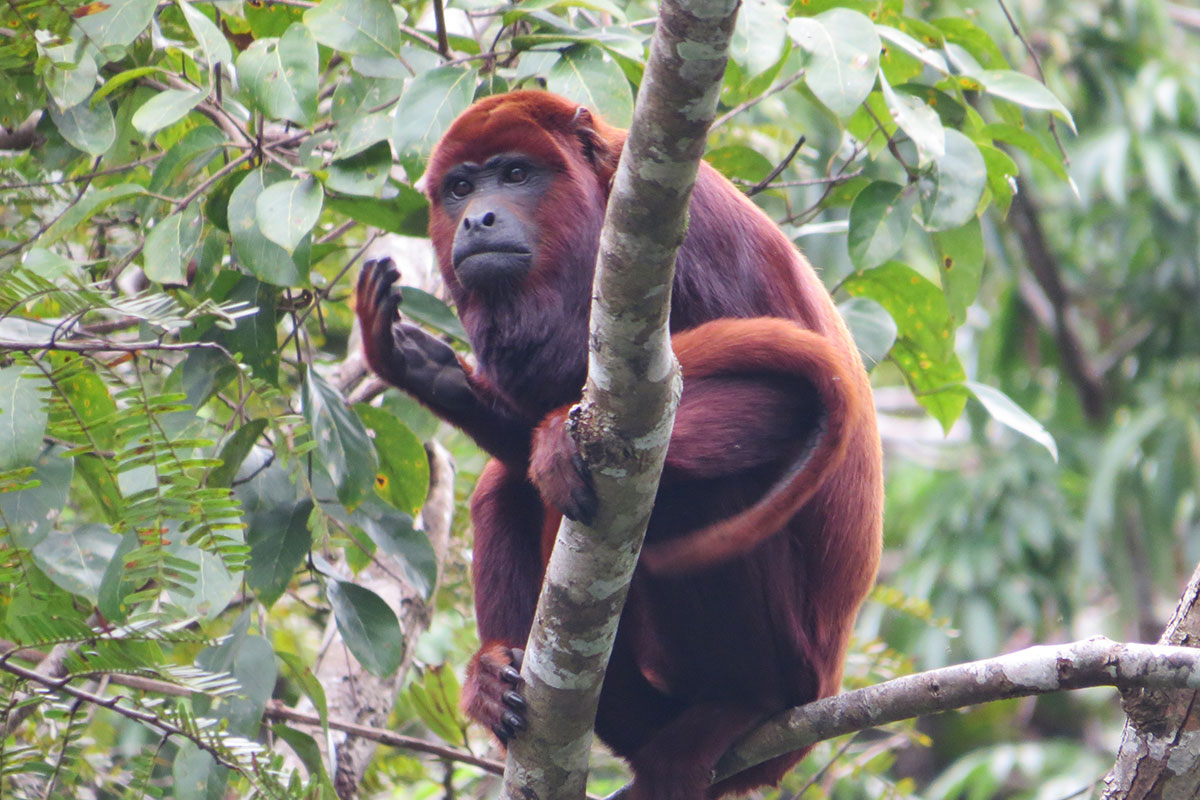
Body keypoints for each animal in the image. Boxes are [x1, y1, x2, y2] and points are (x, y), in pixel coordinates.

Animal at [352, 90, 883, 796]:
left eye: (515, 174)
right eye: (460, 188)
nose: (477, 220)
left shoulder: (699, 234)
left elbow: (782, 397)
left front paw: (557, 441)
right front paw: (424, 369)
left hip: (794, 668)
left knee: (706, 491)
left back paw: (742, 704)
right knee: (502, 488)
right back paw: (498, 679)